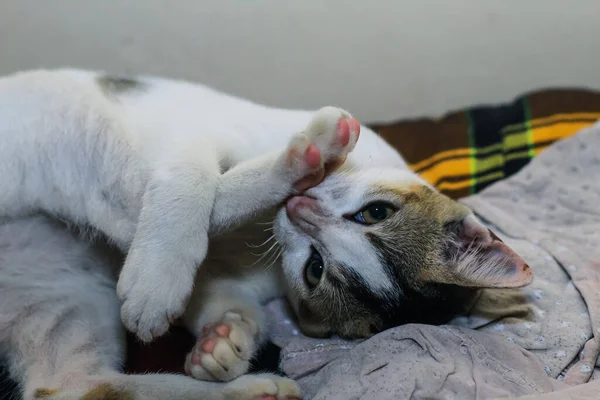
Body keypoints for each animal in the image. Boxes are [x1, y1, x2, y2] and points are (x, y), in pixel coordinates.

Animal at [0, 70, 532, 398]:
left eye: (315, 268)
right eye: (375, 212)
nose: (301, 211)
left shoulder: (230, 277)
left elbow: (223, 285)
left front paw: (223, 346)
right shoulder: (195, 134)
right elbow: (194, 181)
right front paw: (160, 281)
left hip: (64, 294)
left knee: (74, 386)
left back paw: (253, 389)